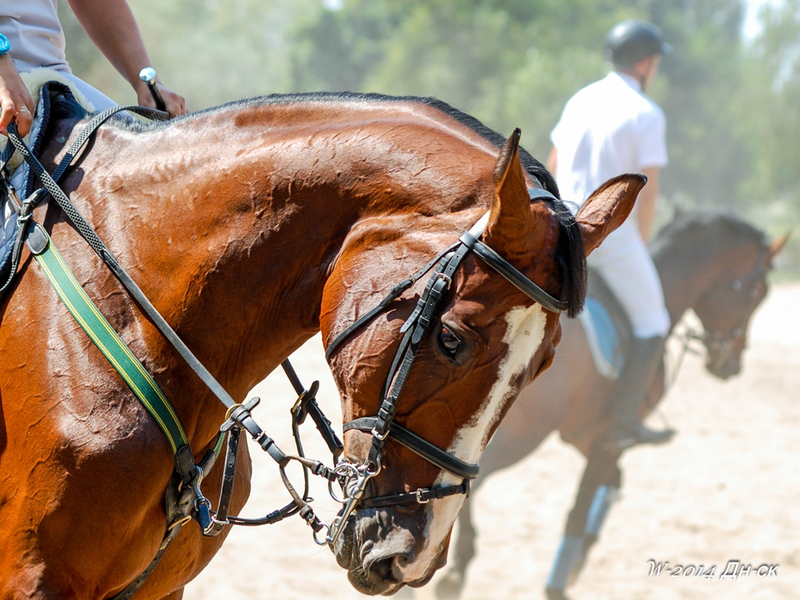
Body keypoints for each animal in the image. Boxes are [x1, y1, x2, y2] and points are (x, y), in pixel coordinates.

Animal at [434, 209, 784, 596]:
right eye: (758, 293)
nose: (730, 366)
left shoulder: (586, 435)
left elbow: (614, 482)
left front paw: (580, 559)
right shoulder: (608, 441)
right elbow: (583, 504)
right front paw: (559, 584)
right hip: (518, 435)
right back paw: (452, 570)